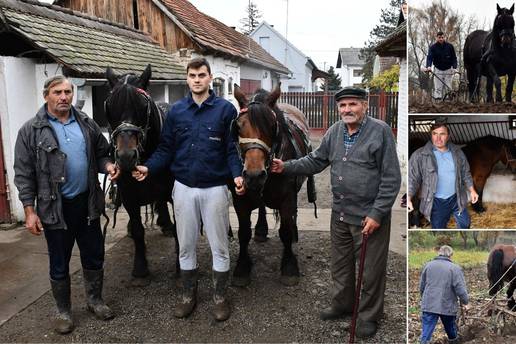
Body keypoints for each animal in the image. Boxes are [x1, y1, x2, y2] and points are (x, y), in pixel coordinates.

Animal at [104, 65, 178, 284]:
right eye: (109, 106)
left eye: (144, 106)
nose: (126, 157)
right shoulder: (129, 195)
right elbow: (138, 229)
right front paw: (140, 267)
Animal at [232, 84, 316, 286]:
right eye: (237, 126)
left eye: (272, 126)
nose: (254, 175)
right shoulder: (240, 200)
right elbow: (243, 233)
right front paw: (242, 267)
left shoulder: (287, 198)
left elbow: (285, 231)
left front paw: (289, 266)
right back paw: (261, 229)